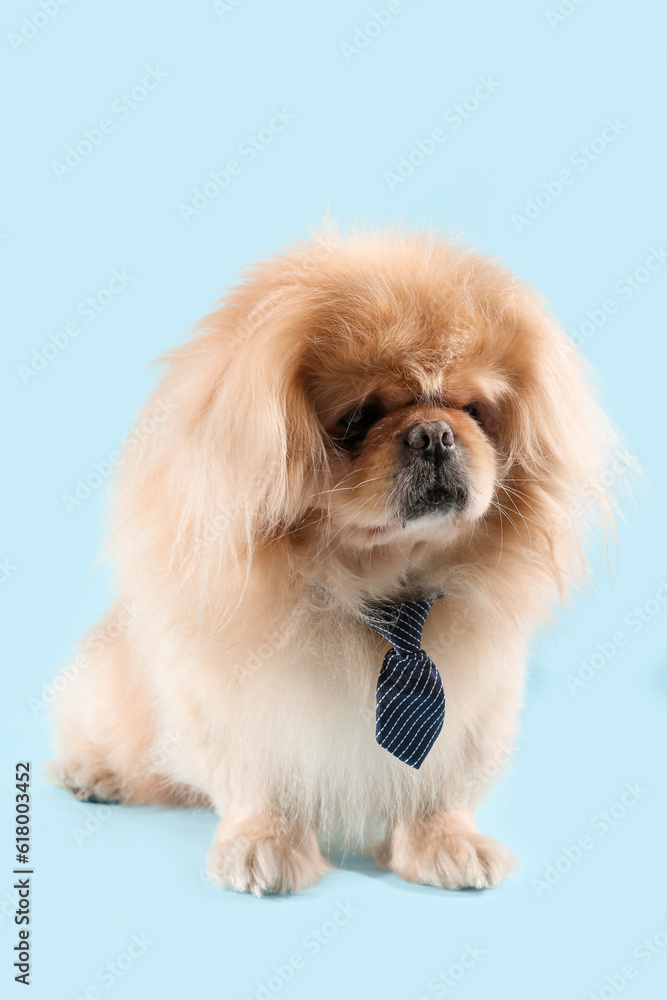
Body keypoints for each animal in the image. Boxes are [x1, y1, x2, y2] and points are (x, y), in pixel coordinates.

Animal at [51, 229, 620, 900]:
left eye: (475, 411)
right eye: (357, 418)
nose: (434, 432)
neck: (379, 591)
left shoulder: (476, 707)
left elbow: (438, 786)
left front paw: (446, 843)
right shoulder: (241, 705)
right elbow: (260, 780)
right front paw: (264, 844)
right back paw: (96, 773)